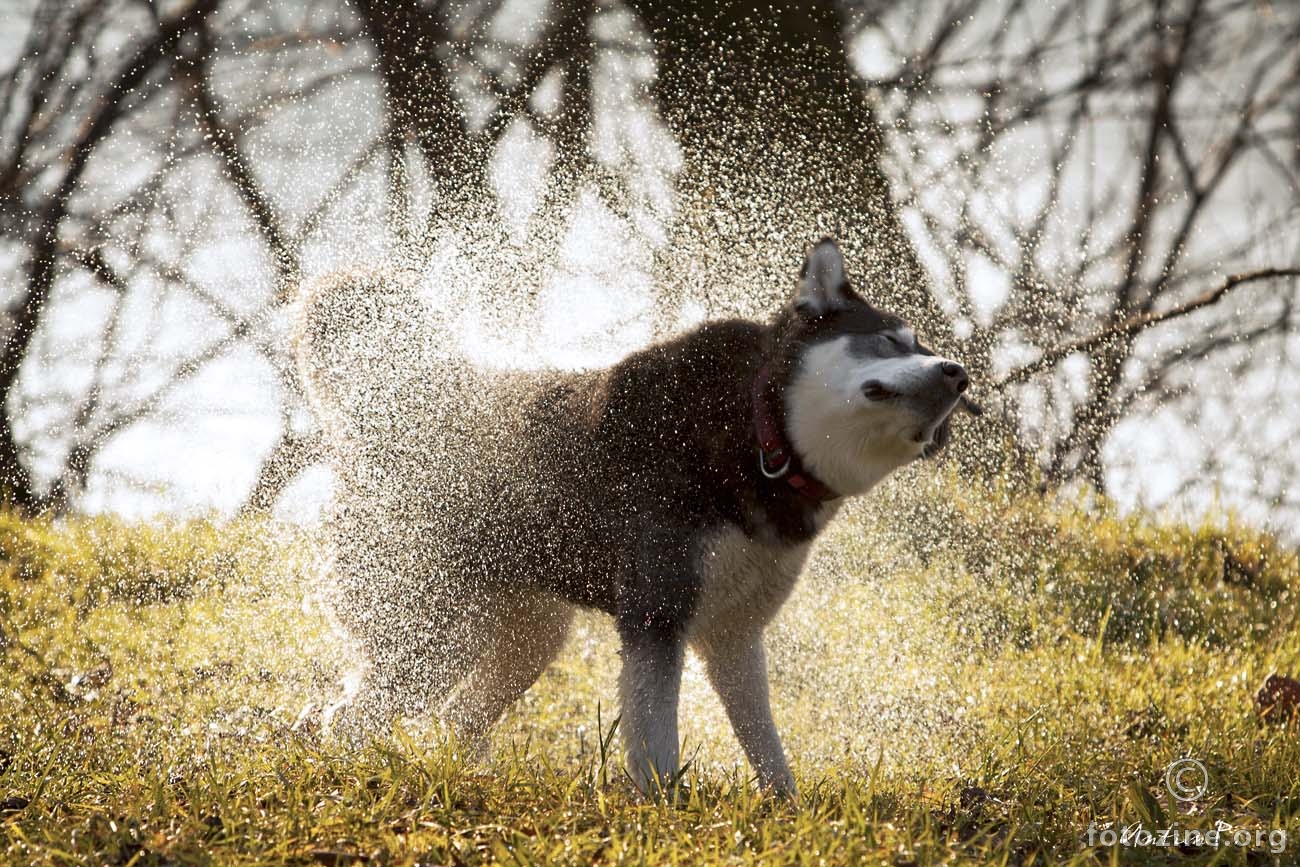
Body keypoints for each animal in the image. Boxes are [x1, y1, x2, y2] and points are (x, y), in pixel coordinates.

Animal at [295, 237, 967, 795]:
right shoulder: (658, 612)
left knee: (453, 716)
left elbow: (766, 746)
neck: (762, 434)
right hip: (437, 634)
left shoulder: (734, 634)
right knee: (347, 716)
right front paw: (665, 811)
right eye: (890, 340)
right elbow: (656, 739)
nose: (957, 375)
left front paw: (787, 810)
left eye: (926, 350)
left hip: (528, 636)